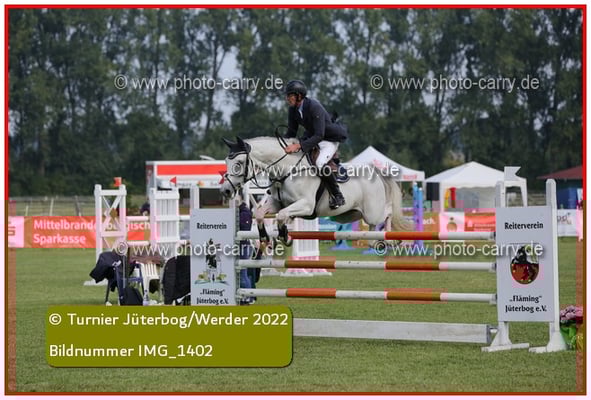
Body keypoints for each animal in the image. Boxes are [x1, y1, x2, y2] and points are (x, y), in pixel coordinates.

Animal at [220, 136, 413, 246]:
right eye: (227, 161)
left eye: (238, 163)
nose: (226, 191)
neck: (287, 171)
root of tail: (377, 173)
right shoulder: (276, 203)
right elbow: (260, 214)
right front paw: (265, 238)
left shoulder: (305, 205)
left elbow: (282, 215)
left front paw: (285, 236)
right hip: (349, 215)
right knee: (373, 234)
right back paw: (384, 241)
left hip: (372, 213)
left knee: (387, 214)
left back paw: (392, 238)